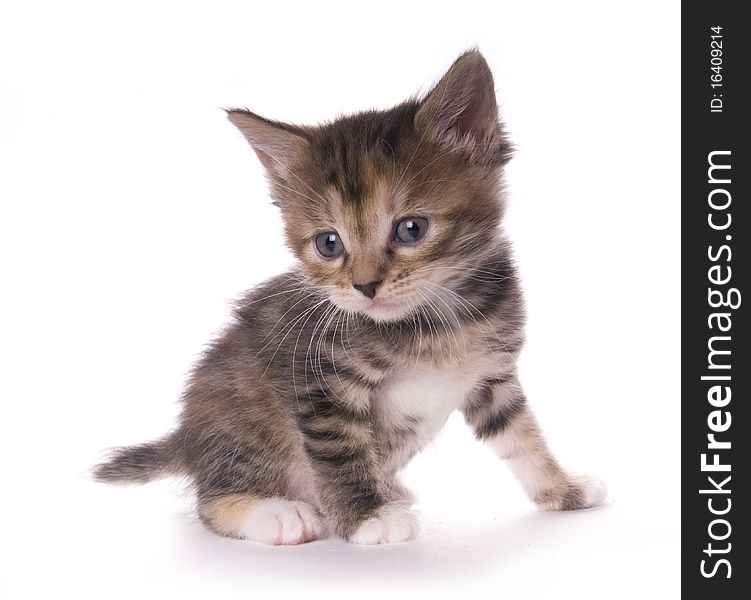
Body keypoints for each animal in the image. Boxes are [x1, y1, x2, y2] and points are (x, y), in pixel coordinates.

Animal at [95, 51, 612, 548]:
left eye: (411, 230)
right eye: (328, 244)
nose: (365, 285)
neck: (440, 322)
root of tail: (187, 437)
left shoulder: (492, 376)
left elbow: (523, 437)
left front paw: (563, 490)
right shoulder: (318, 383)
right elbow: (341, 453)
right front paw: (368, 518)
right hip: (241, 422)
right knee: (213, 501)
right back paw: (279, 514)